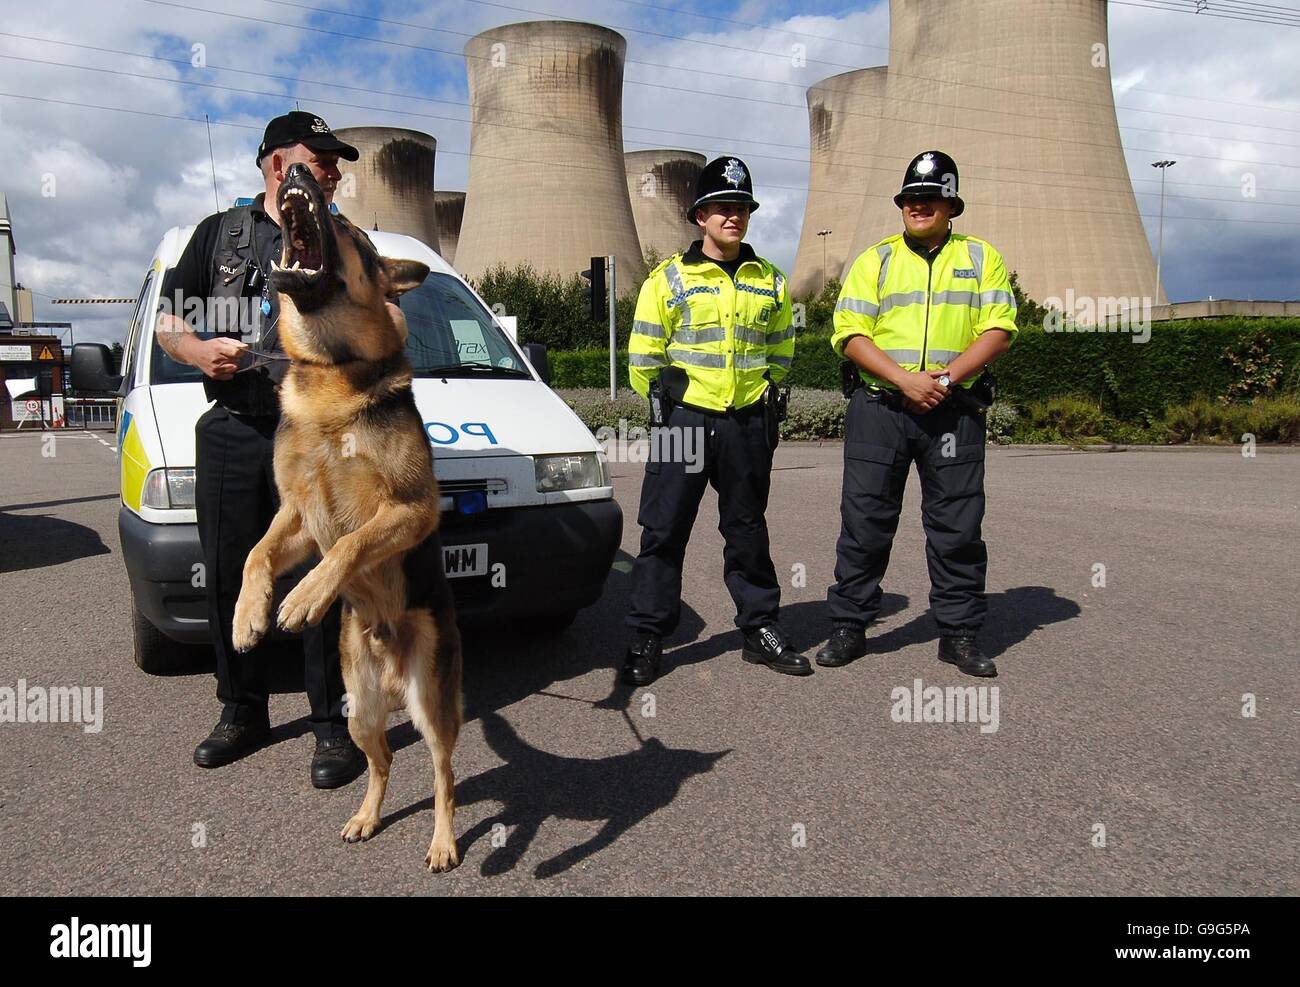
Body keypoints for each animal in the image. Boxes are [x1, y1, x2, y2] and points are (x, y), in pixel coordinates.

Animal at [232, 163, 462, 873]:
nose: (297, 171)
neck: (333, 370)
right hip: (358, 710)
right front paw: (247, 616)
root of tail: (387, 655)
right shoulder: (296, 517)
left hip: (431, 703)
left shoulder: (412, 508)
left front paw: (305, 596)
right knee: (381, 762)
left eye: (349, 228)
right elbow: (254, 553)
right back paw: (366, 816)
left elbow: (352, 543)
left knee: (443, 775)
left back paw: (444, 842)